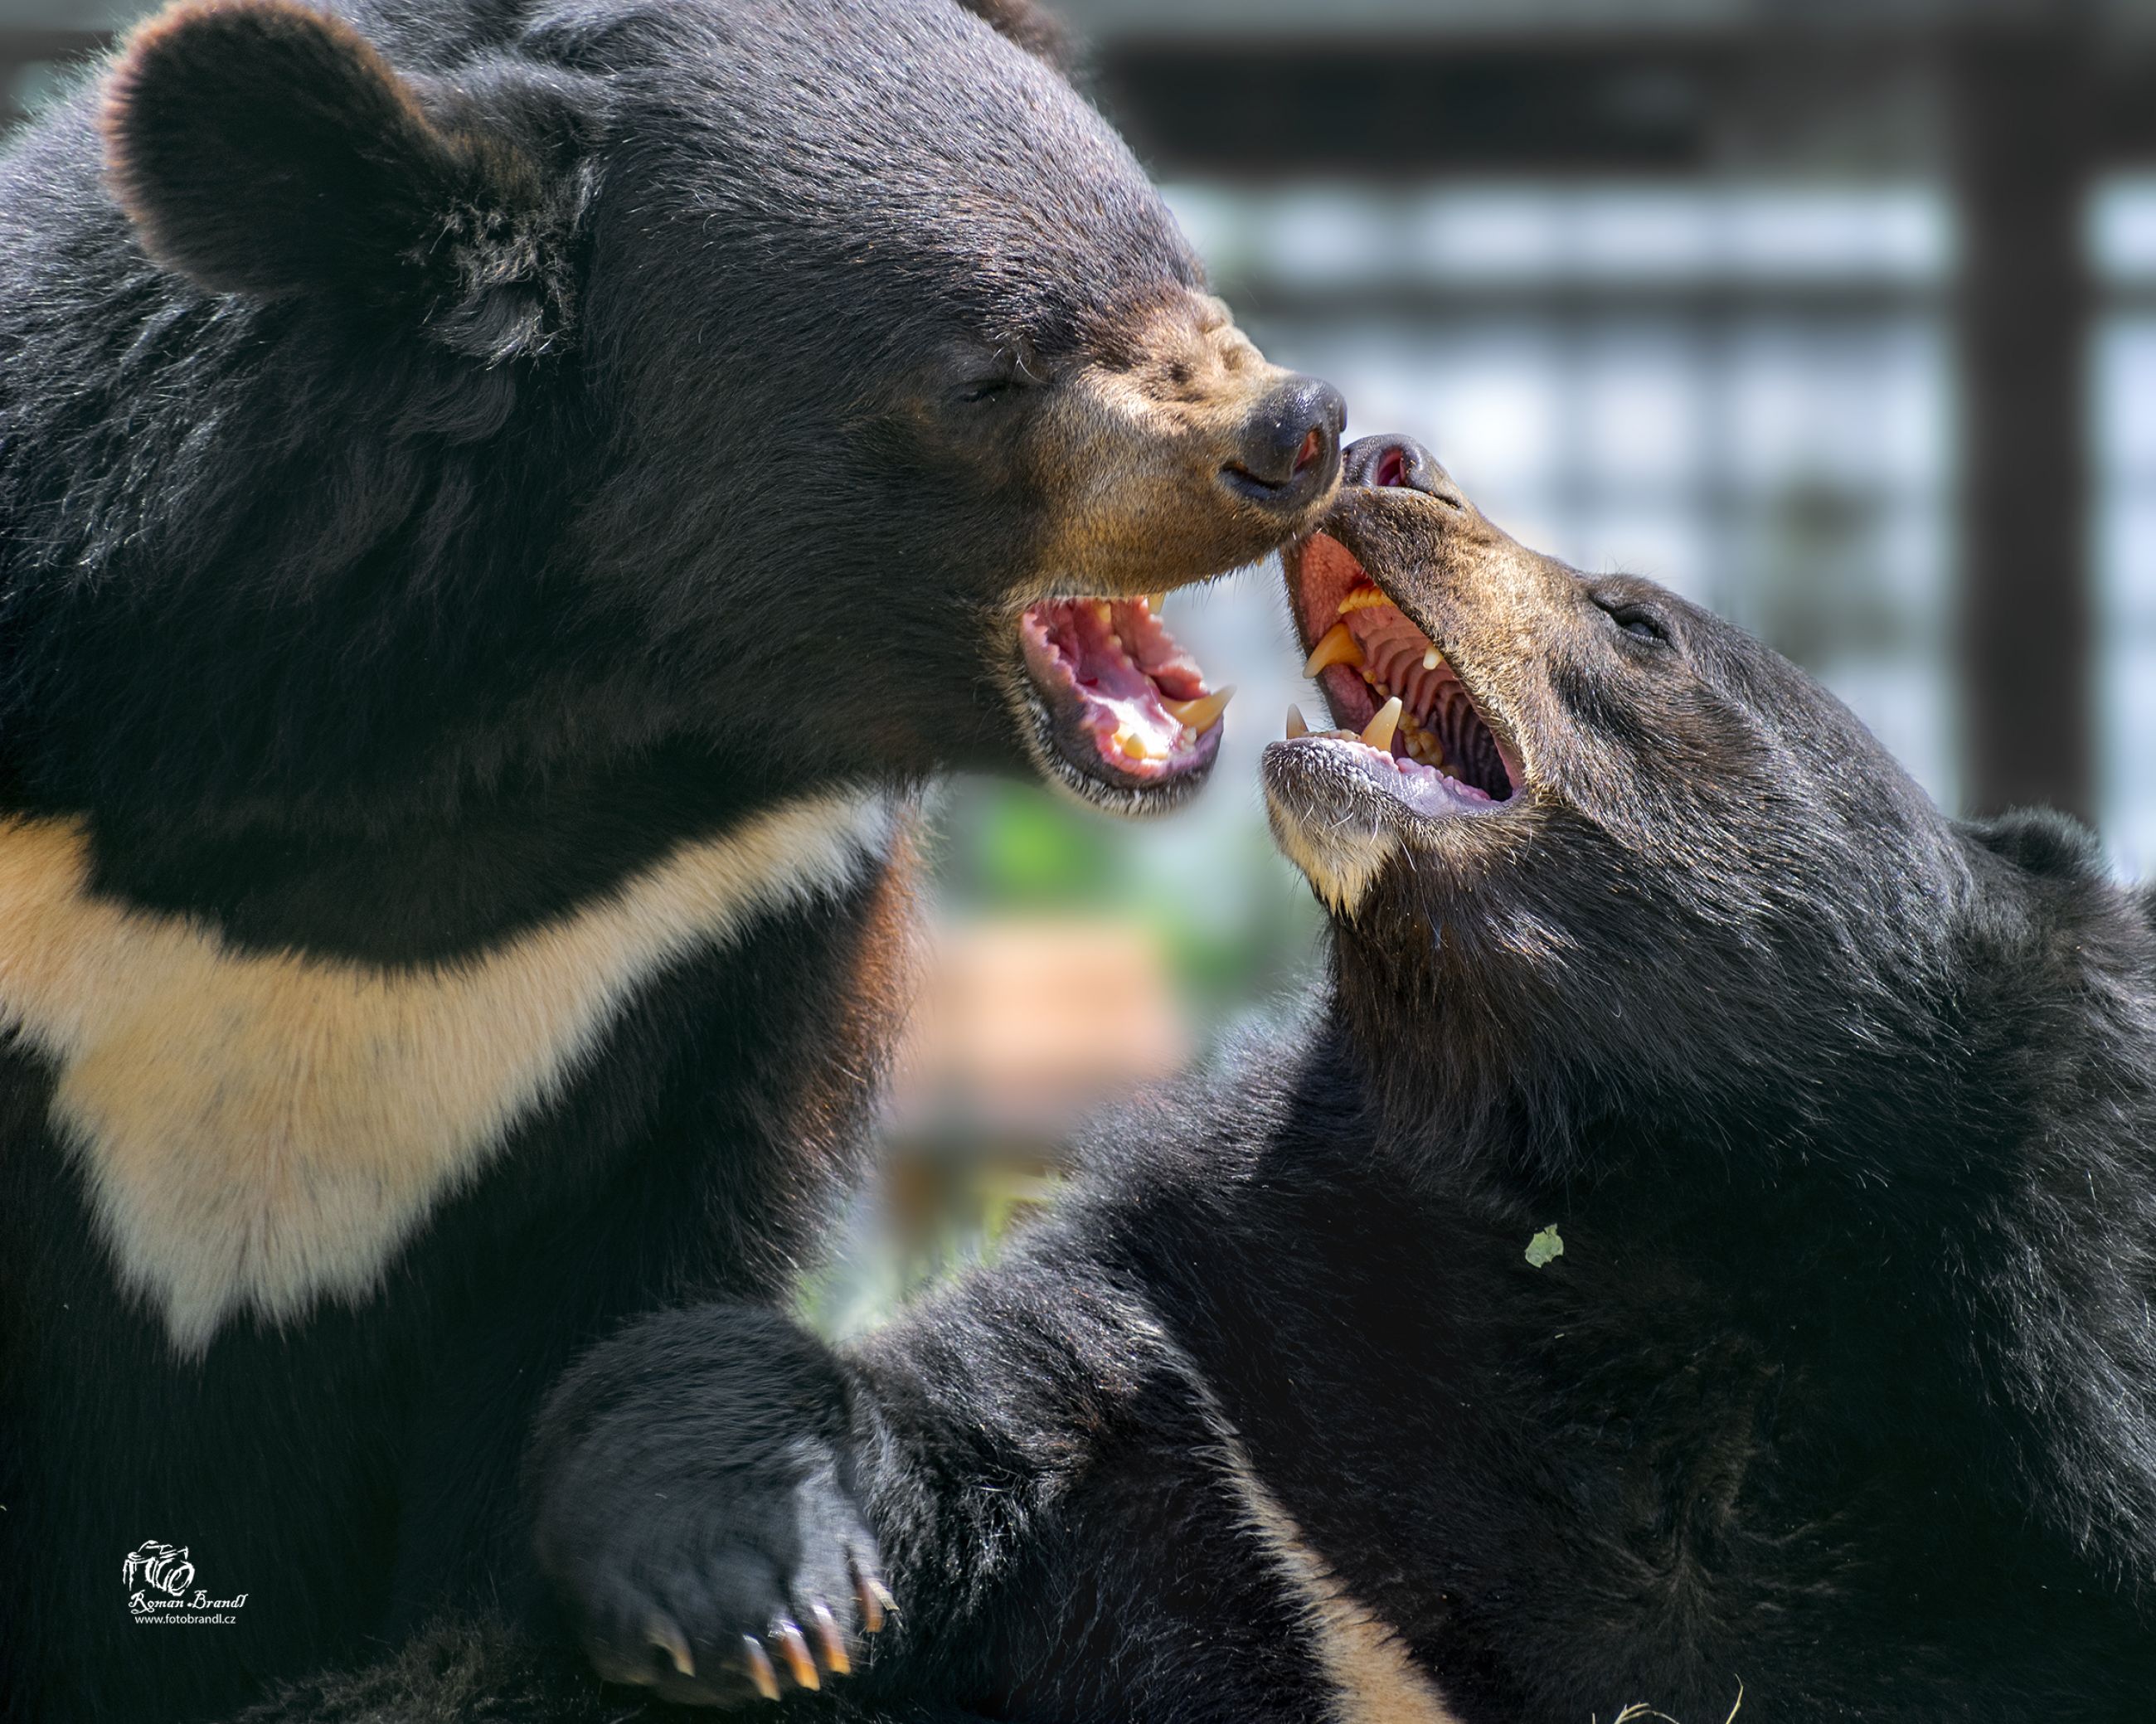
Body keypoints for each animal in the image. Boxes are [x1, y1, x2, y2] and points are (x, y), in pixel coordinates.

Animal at [0, 0, 1337, 1715]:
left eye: (1174, 260)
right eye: (987, 375)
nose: (1297, 431)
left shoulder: (723, 939)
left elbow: (643, 1283)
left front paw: (750, 1586)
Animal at [543, 437, 2156, 1715]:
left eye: (1634, 619)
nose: (1384, 455)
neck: (1609, 1205)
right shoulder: (1229, 1376)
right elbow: (959, 1417)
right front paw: (757, 1579)